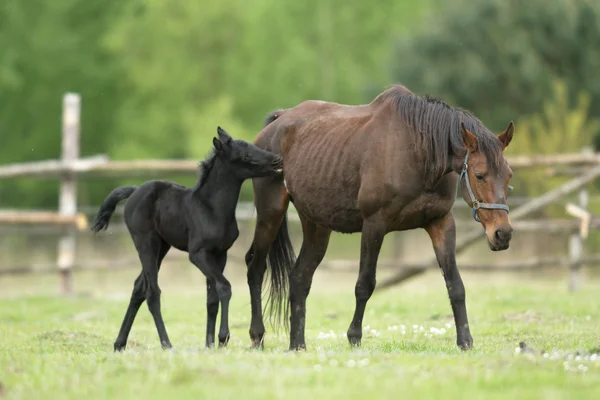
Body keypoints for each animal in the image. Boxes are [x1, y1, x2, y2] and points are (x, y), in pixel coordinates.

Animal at [91, 126, 284, 352]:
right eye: (245, 156)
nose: (277, 160)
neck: (212, 209)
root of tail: (135, 190)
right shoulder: (198, 254)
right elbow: (224, 287)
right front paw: (222, 338)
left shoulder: (220, 254)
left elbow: (212, 298)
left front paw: (209, 343)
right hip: (146, 243)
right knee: (152, 292)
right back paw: (166, 344)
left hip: (162, 246)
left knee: (139, 288)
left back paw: (119, 343)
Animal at [245, 83, 516, 350]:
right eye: (480, 175)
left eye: (509, 174)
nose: (502, 234)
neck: (418, 152)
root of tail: (276, 123)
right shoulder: (374, 224)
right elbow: (365, 284)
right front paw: (354, 337)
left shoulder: (441, 223)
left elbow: (455, 284)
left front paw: (465, 341)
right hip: (270, 214)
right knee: (255, 267)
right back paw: (257, 335)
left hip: (317, 226)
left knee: (300, 278)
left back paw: (297, 345)